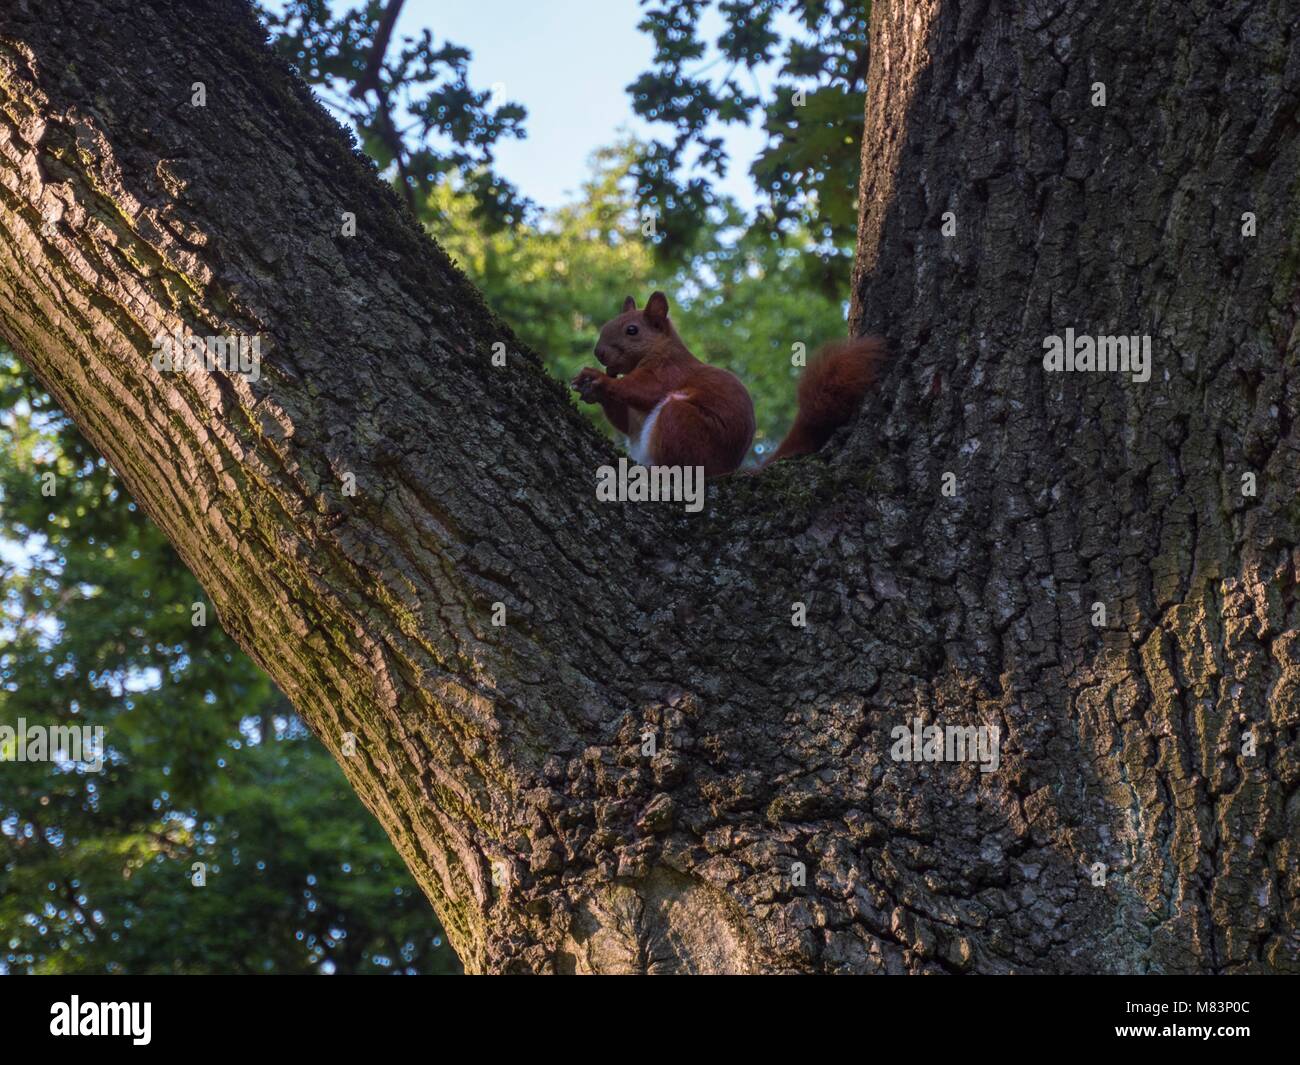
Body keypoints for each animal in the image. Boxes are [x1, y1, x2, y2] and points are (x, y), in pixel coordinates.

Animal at [571, 291, 885, 477]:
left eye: (632, 330)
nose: (599, 353)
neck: (658, 351)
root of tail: (725, 472)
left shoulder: (669, 372)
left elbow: (643, 390)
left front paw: (598, 378)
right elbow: (624, 422)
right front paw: (590, 387)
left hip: (683, 423)